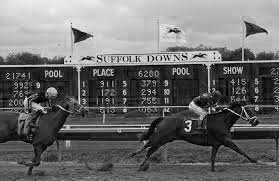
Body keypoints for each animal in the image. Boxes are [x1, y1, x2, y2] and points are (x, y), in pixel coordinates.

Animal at [131, 101, 260, 172]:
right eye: (249, 110)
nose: (256, 122)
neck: (222, 121)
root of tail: (165, 118)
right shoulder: (226, 141)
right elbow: (240, 150)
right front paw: (254, 160)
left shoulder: (216, 144)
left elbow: (212, 158)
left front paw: (213, 170)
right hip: (162, 138)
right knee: (149, 148)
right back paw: (139, 162)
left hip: (166, 138)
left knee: (149, 144)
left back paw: (138, 158)